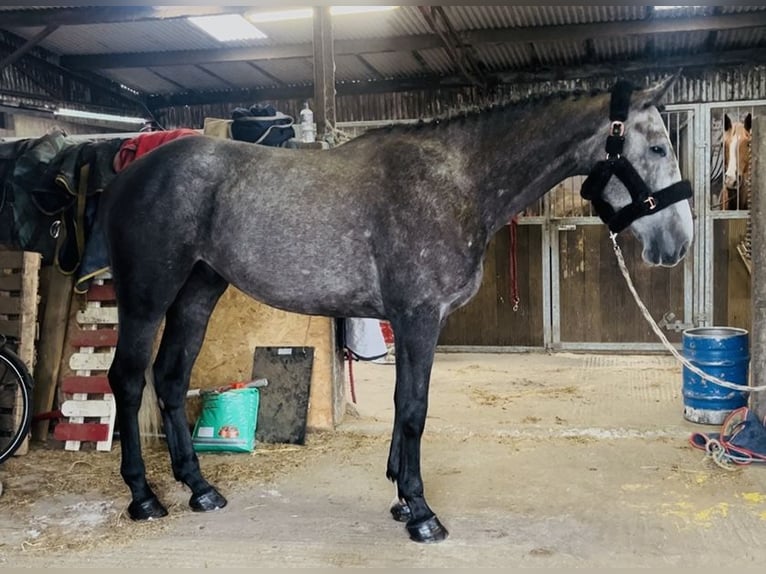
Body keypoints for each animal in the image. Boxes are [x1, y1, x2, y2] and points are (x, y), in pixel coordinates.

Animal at [100, 76, 694, 544]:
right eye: (658, 148)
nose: (679, 243)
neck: (456, 182)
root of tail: (129, 174)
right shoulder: (419, 317)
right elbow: (413, 410)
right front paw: (422, 512)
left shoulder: (413, 321)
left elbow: (403, 405)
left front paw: (402, 500)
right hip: (148, 296)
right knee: (128, 380)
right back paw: (144, 497)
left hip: (199, 290)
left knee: (170, 378)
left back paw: (200, 488)